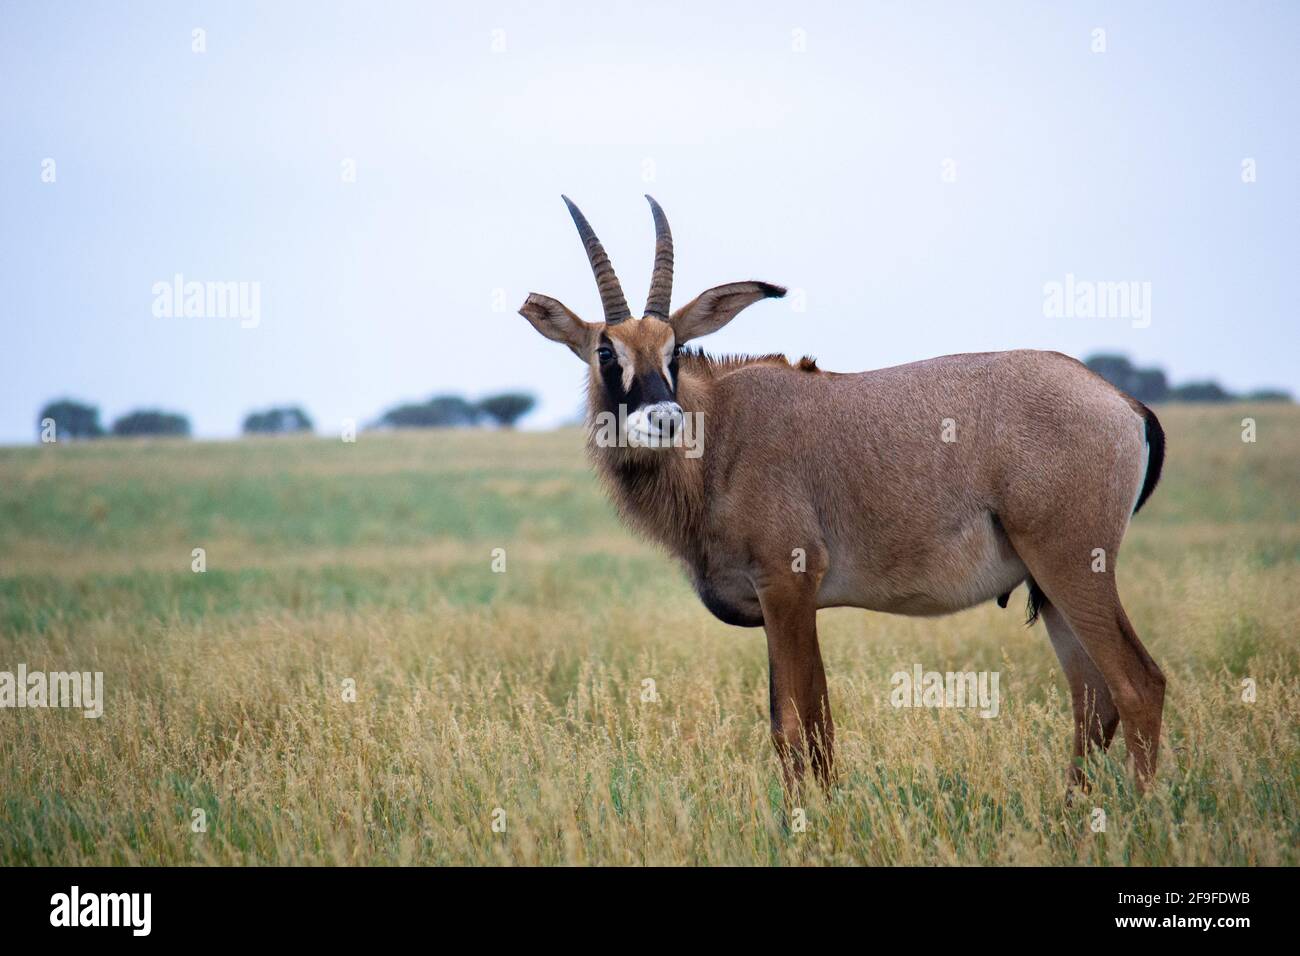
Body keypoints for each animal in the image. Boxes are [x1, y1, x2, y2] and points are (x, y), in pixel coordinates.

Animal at [517, 195, 1170, 790]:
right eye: (606, 350)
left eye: (673, 347)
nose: (664, 419)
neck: (722, 430)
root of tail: (1123, 403)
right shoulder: (781, 603)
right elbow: (807, 725)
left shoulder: (787, 586)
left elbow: (798, 726)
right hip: (1049, 585)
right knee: (1094, 697)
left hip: (1073, 566)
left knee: (1137, 685)